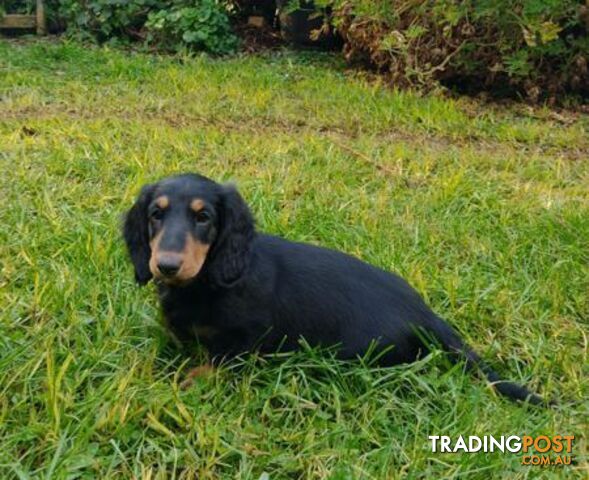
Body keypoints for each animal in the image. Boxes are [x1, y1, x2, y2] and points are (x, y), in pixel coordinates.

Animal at [124, 172, 548, 404]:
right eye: (156, 214)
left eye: (204, 217)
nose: (166, 265)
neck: (209, 279)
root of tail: (425, 313)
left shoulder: (246, 339)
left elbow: (216, 361)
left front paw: (188, 380)